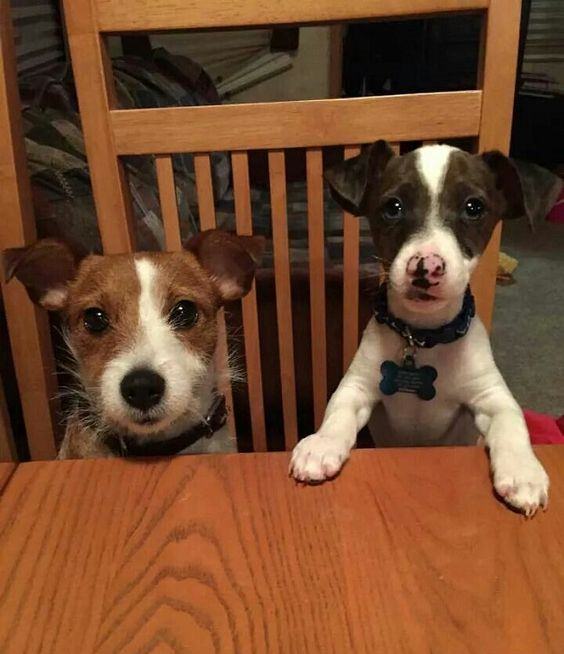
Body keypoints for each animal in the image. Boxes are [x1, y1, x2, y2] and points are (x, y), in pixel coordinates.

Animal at [290, 142, 548, 516]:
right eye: (393, 207)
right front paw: (321, 444)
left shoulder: (490, 395)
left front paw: (523, 471)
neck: (424, 338)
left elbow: (512, 421)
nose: (427, 267)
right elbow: (337, 411)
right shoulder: (358, 386)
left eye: (474, 207)